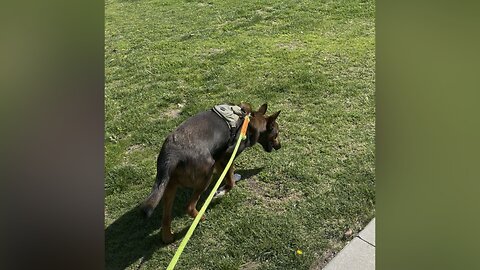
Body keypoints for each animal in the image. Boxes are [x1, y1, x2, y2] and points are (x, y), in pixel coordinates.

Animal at [139, 102, 282, 244]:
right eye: (276, 135)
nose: (280, 146)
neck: (250, 122)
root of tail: (172, 155)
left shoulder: (219, 159)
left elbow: (228, 175)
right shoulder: (226, 156)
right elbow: (230, 182)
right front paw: (221, 191)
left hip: (169, 186)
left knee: (166, 217)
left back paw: (167, 236)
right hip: (206, 175)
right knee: (189, 207)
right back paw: (200, 218)